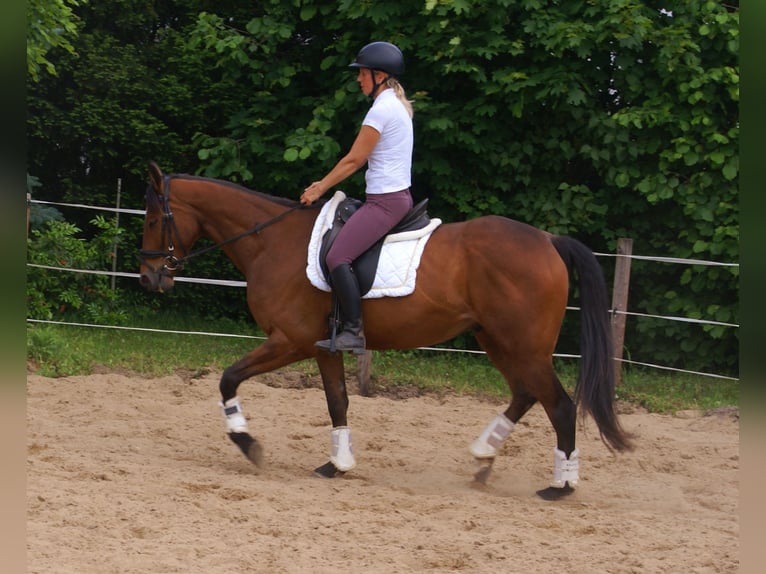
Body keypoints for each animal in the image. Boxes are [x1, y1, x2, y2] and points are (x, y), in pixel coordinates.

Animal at [139, 161, 632, 500]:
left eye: (152, 219)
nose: (149, 277)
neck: (272, 243)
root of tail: (548, 240)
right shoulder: (323, 347)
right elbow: (337, 401)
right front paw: (337, 463)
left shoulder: (290, 341)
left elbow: (229, 378)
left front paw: (246, 442)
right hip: (497, 340)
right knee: (527, 394)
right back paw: (483, 456)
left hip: (522, 345)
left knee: (560, 406)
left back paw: (560, 486)